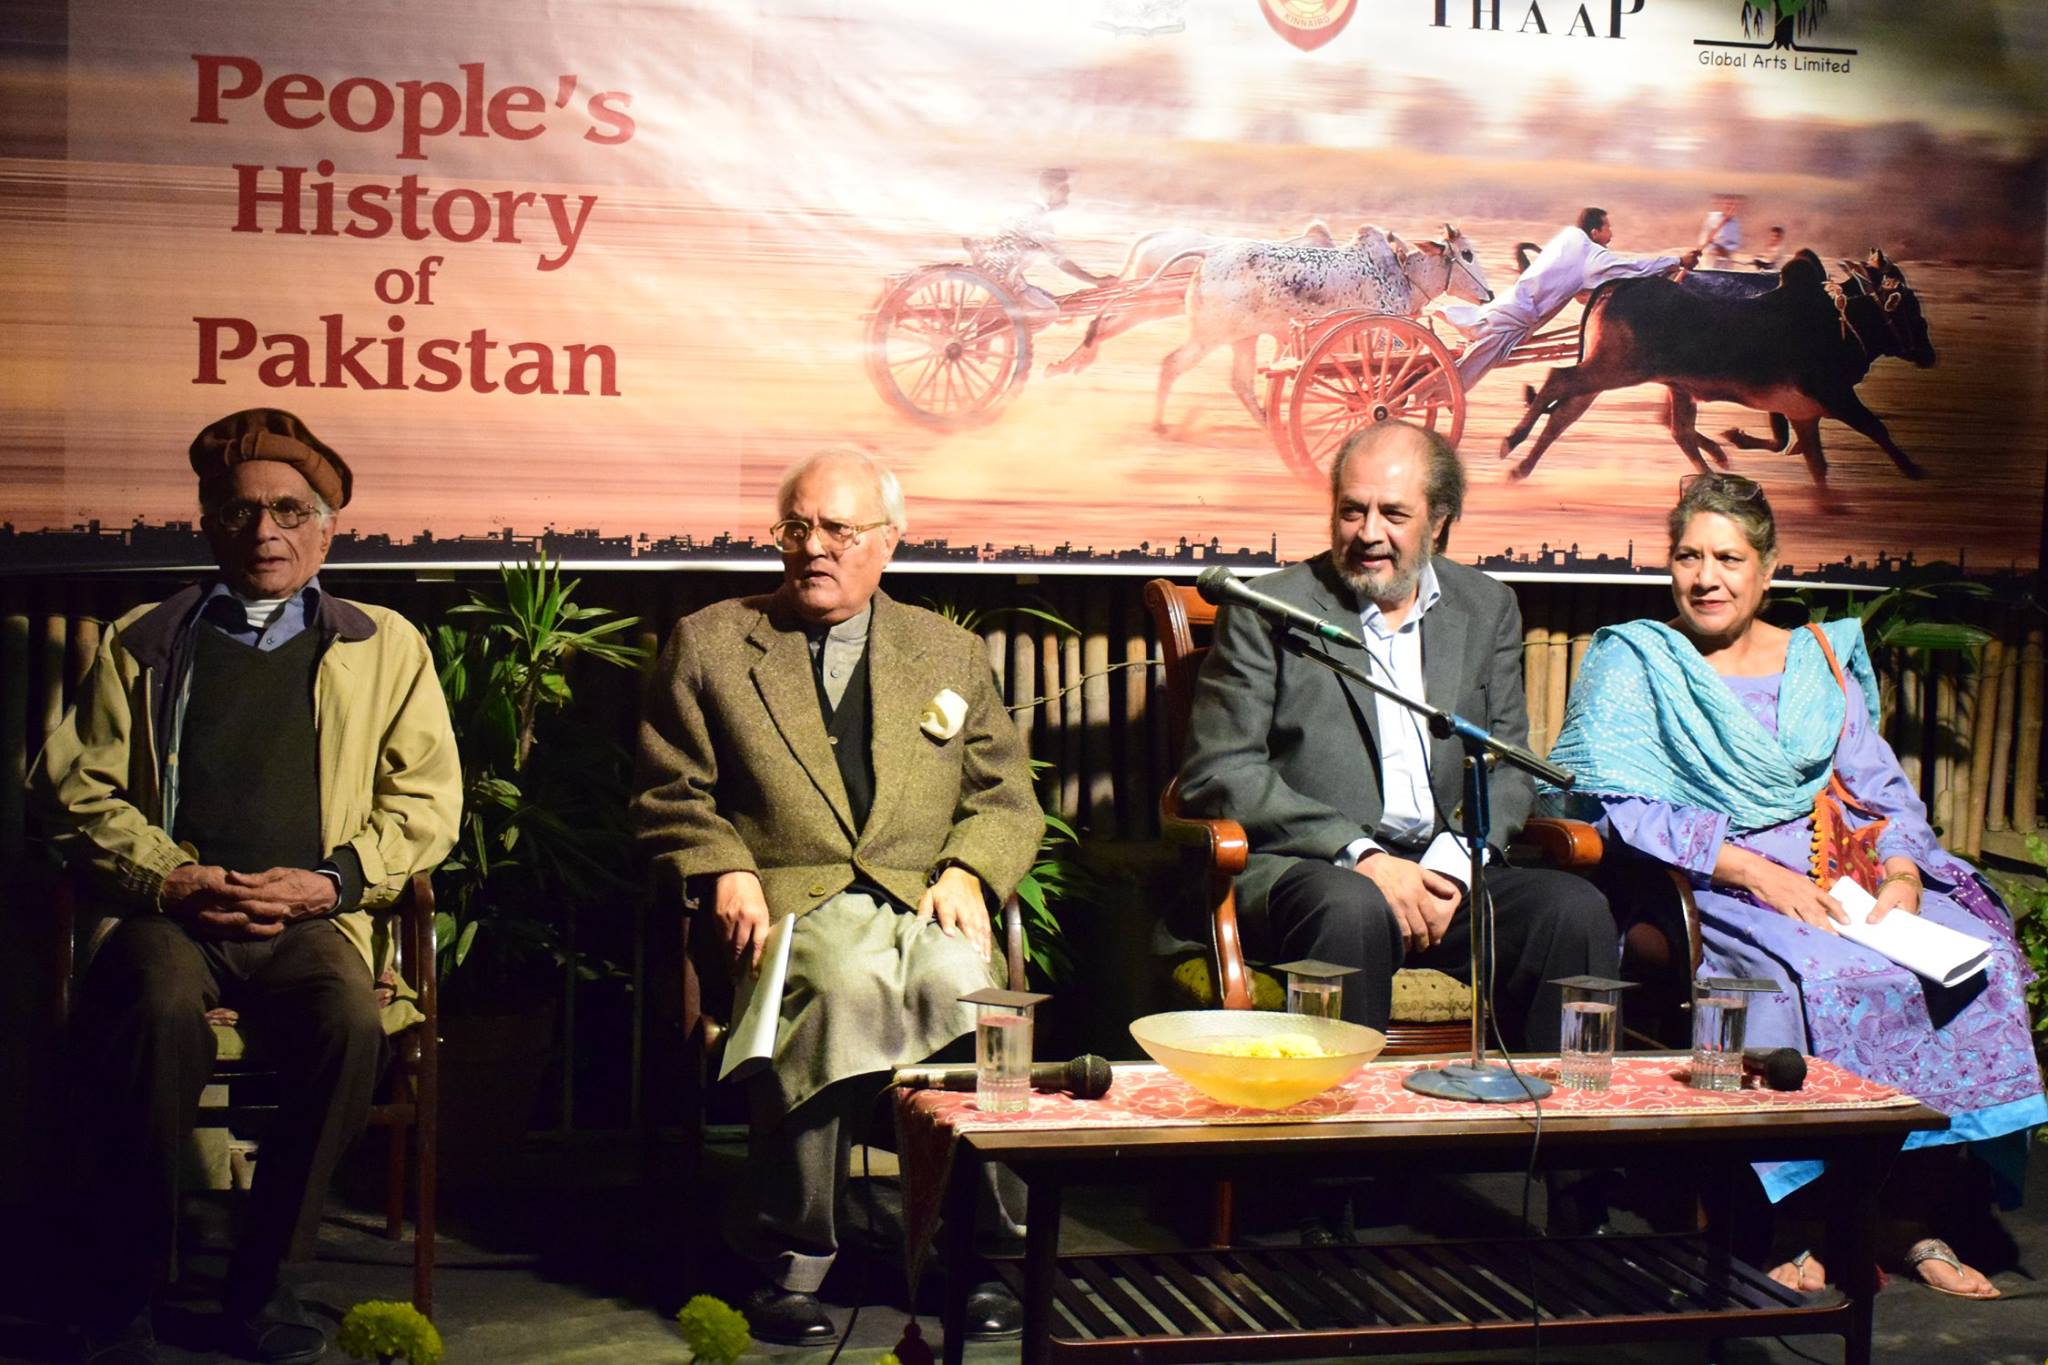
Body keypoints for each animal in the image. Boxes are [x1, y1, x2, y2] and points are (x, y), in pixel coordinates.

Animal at [1141, 224, 1493, 432]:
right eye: (1466, 254)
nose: (1489, 294)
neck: (1403, 272)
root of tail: (1211, 253)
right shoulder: (1383, 340)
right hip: (1210, 335)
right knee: (1171, 364)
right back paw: (1159, 424)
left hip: (1243, 338)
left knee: (1239, 382)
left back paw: (1271, 426)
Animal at [1498, 249, 1934, 493]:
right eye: (1907, 304)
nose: (1929, 354)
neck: (1837, 320)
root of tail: (1617, 285)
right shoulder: (1833, 393)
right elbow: (1875, 427)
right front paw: (1915, 470)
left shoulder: (1801, 406)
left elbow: (1797, 446)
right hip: (1615, 370)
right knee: (1557, 382)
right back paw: (1511, 441)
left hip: (1624, 375)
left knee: (1573, 415)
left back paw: (1521, 468)